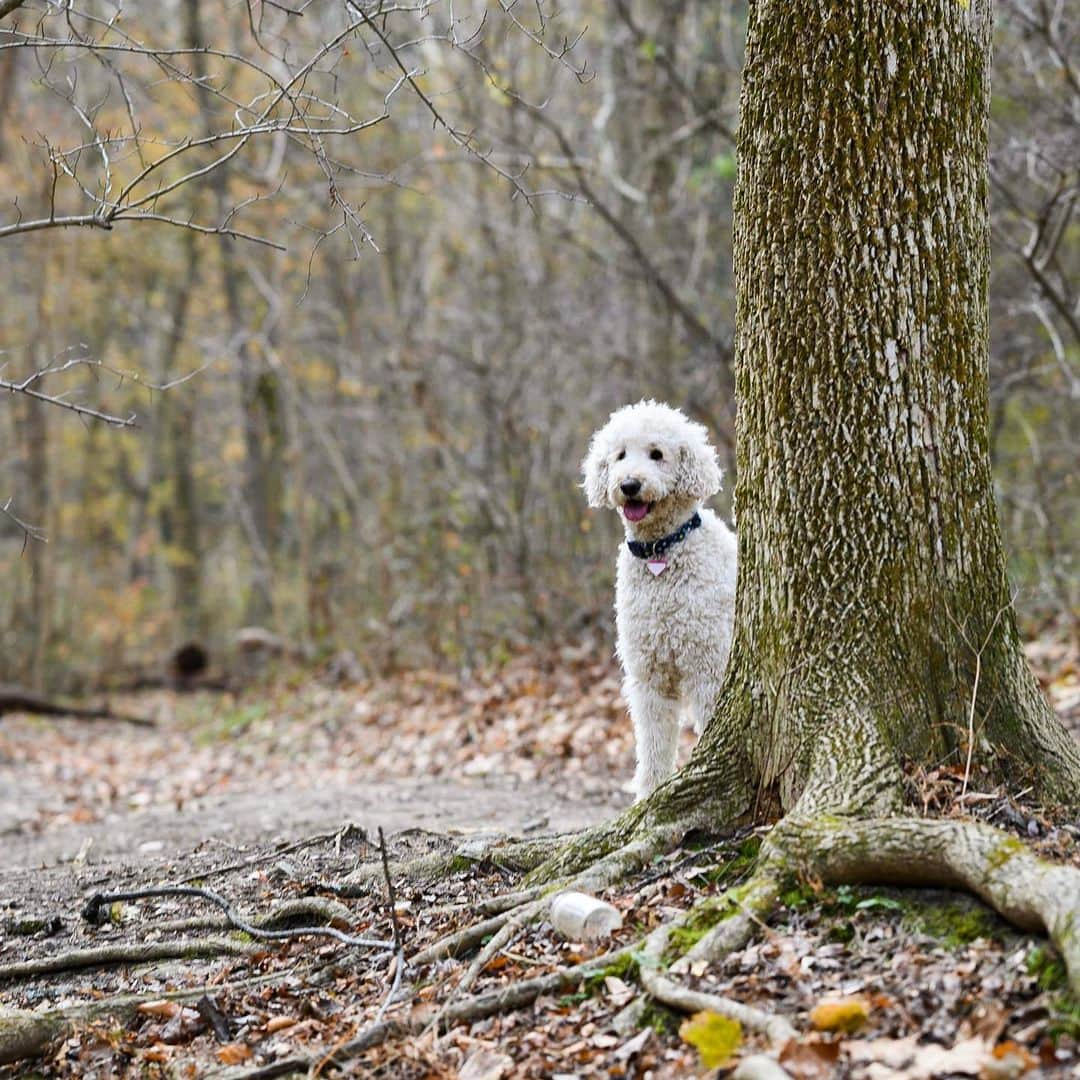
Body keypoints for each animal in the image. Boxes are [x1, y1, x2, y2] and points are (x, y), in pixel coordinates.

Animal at [587, 401, 738, 799]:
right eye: (620, 455)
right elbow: (653, 746)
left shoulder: (709, 669)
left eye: (657, 454)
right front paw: (648, 796)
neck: (661, 551)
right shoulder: (648, 677)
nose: (629, 485)